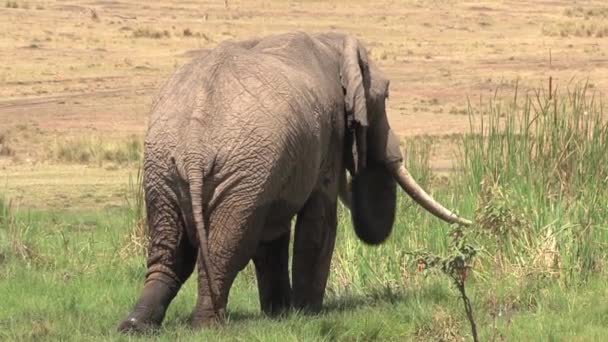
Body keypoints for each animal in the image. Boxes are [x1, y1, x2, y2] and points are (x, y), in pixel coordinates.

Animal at [117, 30, 470, 332]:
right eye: (384, 97)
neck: (332, 42)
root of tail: (193, 142)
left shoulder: (276, 166)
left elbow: (272, 235)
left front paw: (280, 314)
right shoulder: (327, 135)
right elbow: (320, 223)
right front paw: (306, 313)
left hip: (167, 167)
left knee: (171, 249)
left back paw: (136, 326)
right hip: (237, 169)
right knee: (225, 248)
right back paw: (207, 325)